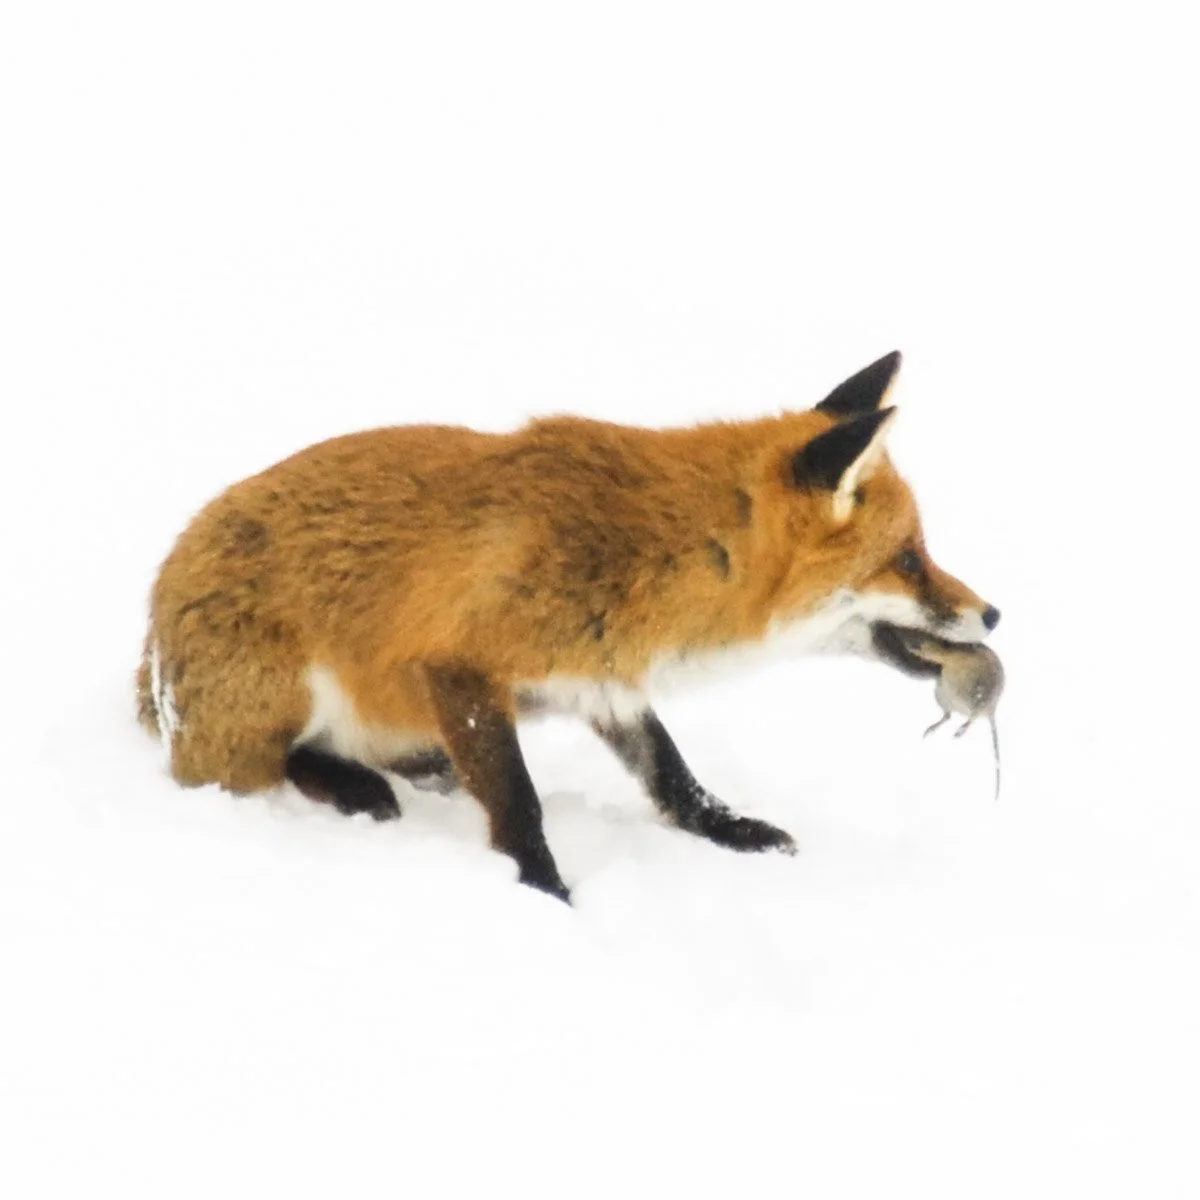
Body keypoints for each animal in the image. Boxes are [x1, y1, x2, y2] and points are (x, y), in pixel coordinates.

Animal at [137, 351, 999, 902]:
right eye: (910, 559)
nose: (994, 612)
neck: (653, 554)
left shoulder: (602, 678)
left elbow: (673, 775)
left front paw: (731, 831)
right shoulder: (459, 666)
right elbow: (520, 802)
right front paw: (546, 892)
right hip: (278, 698)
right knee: (252, 767)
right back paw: (352, 785)